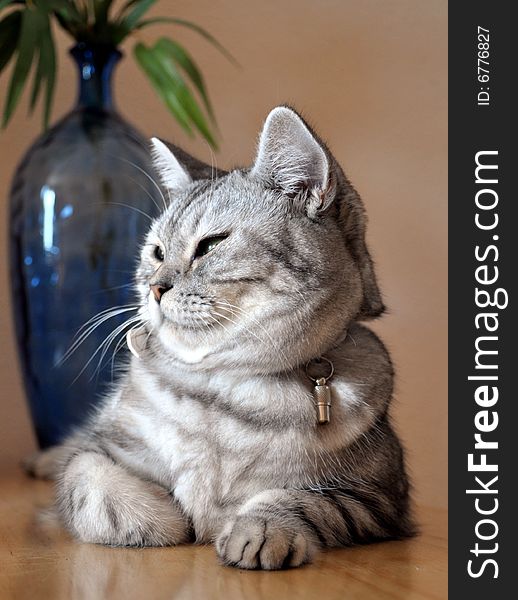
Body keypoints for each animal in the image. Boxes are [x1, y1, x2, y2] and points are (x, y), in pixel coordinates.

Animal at [29, 105, 418, 568]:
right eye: (157, 252)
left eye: (210, 245)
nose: (154, 287)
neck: (224, 388)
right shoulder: (98, 446)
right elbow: (91, 484)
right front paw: (164, 519)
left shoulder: (378, 497)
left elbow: (303, 500)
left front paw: (258, 531)